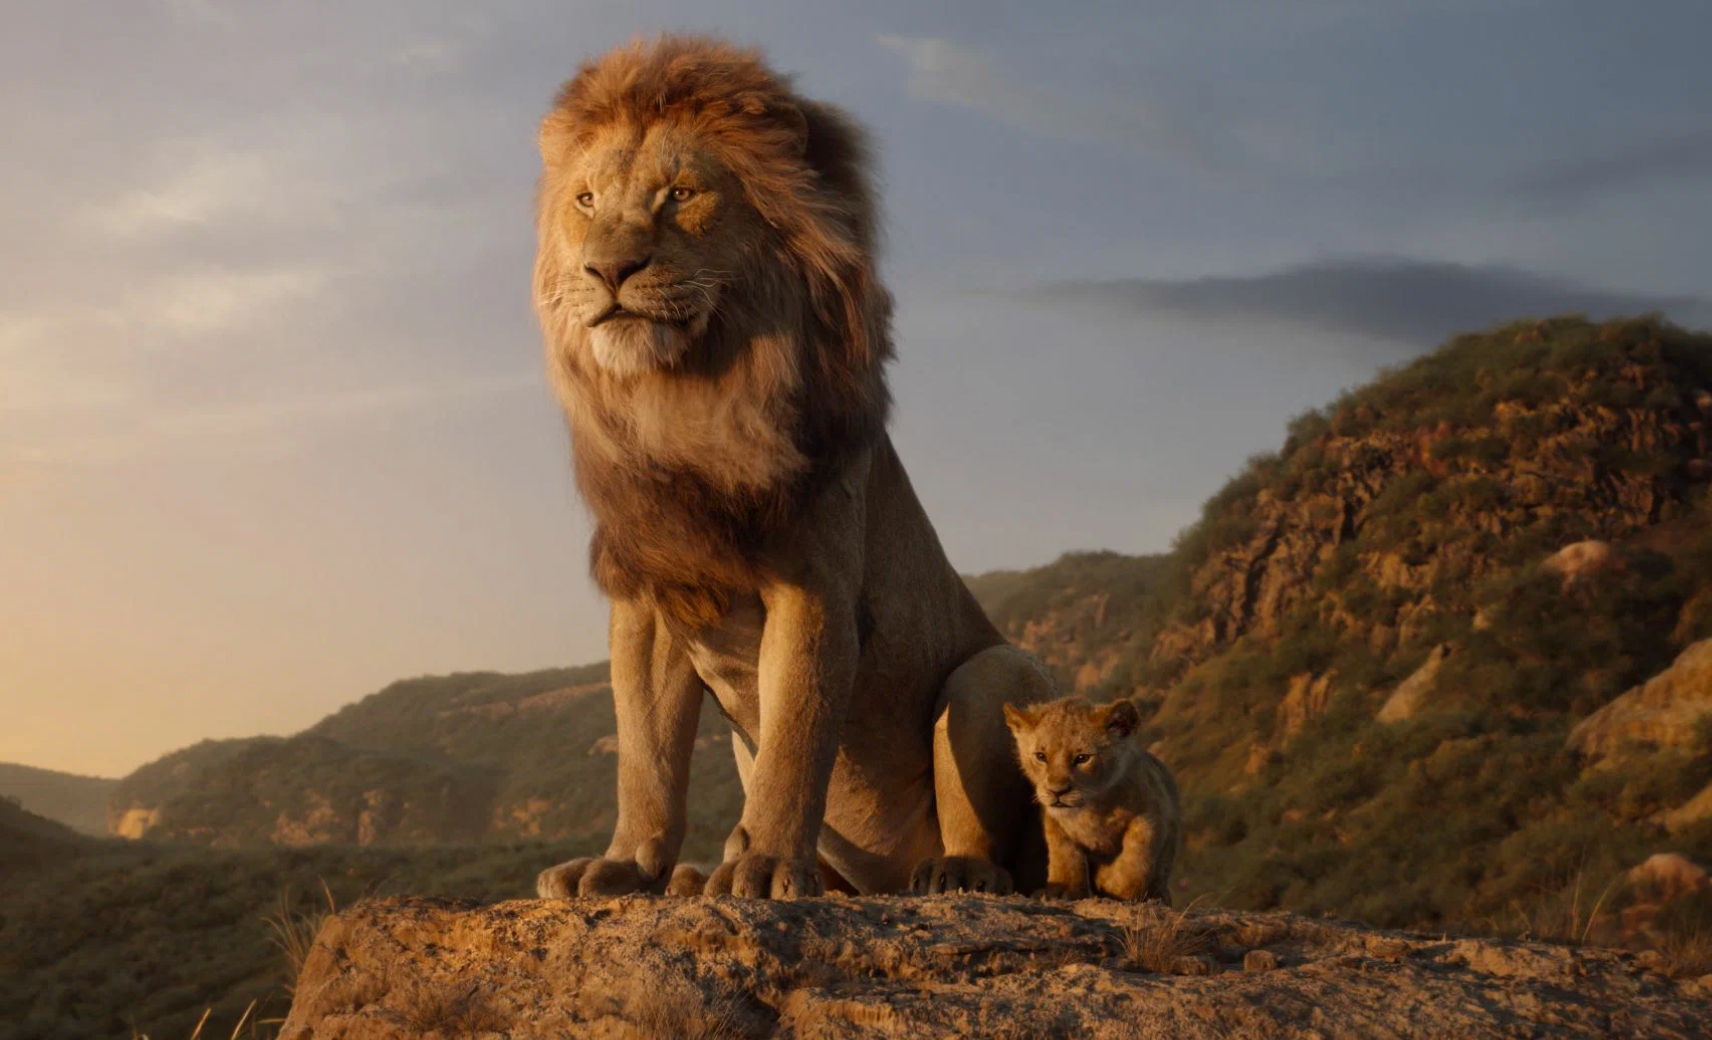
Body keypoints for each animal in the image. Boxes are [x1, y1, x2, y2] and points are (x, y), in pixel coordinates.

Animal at [530, 34, 1056, 900]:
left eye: (681, 194)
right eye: (585, 201)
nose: (608, 270)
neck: (686, 399)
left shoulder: (814, 586)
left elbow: (796, 739)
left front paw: (768, 865)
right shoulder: (651, 595)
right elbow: (646, 757)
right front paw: (625, 865)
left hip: (994, 672)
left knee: (997, 845)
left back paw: (952, 873)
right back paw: (697, 876)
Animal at [1003, 697, 1183, 902]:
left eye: (1082, 758)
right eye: (1041, 756)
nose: (1057, 791)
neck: (1092, 808)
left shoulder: (1151, 814)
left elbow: (1136, 859)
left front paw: (1113, 885)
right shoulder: (1055, 822)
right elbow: (1064, 855)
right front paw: (1063, 890)